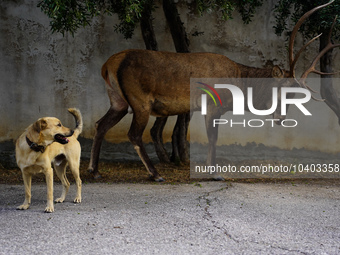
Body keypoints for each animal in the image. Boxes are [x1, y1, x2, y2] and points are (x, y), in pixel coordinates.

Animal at [89, 0, 338, 180]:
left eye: (294, 95)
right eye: (281, 88)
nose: (281, 118)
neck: (237, 85)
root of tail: (107, 65)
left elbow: (212, 137)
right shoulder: (211, 104)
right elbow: (212, 137)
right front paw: (215, 173)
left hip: (118, 100)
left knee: (100, 124)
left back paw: (95, 170)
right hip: (139, 99)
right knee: (134, 133)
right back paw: (155, 174)